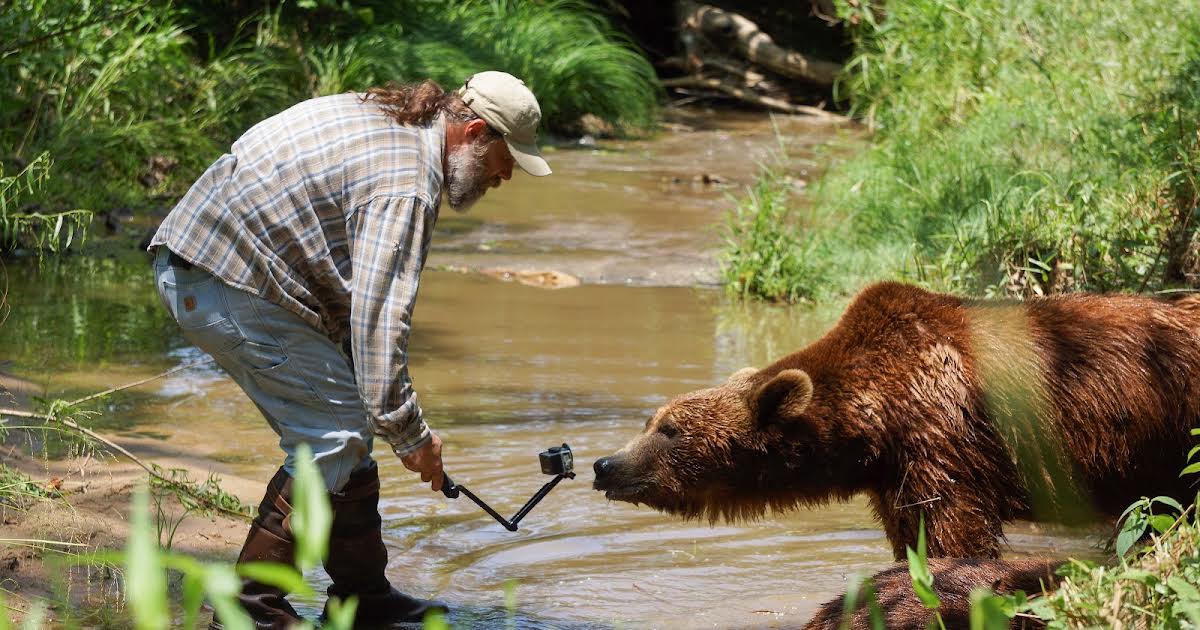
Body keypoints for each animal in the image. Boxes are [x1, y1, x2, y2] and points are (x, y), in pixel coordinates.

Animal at [592, 281, 1200, 560]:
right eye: (652, 421)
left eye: (668, 429)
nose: (604, 465)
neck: (875, 419)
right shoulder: (894, 474)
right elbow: (911, 536)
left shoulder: (944, 439)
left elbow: (955, 532)